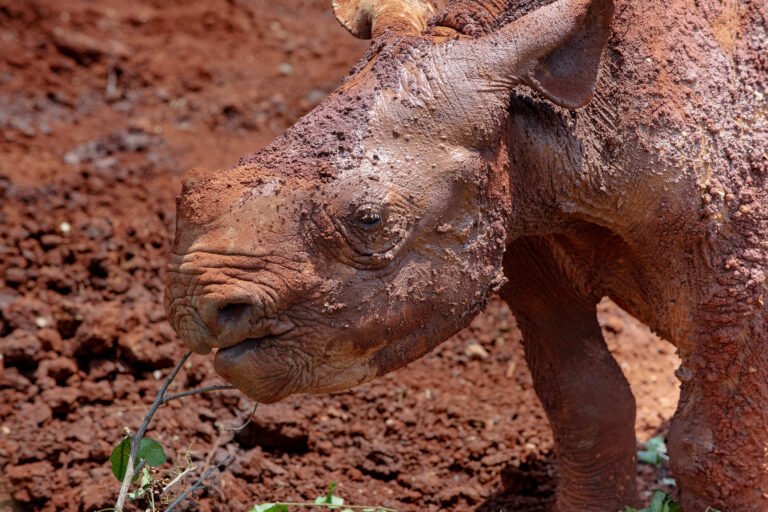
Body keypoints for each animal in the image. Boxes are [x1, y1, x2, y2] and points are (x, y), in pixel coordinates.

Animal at [166, 2, 768, 510]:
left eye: (370, 222)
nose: (194, 305)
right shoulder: (524, 238)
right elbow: (585, 403)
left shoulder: (744, 278)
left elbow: (714, 450)